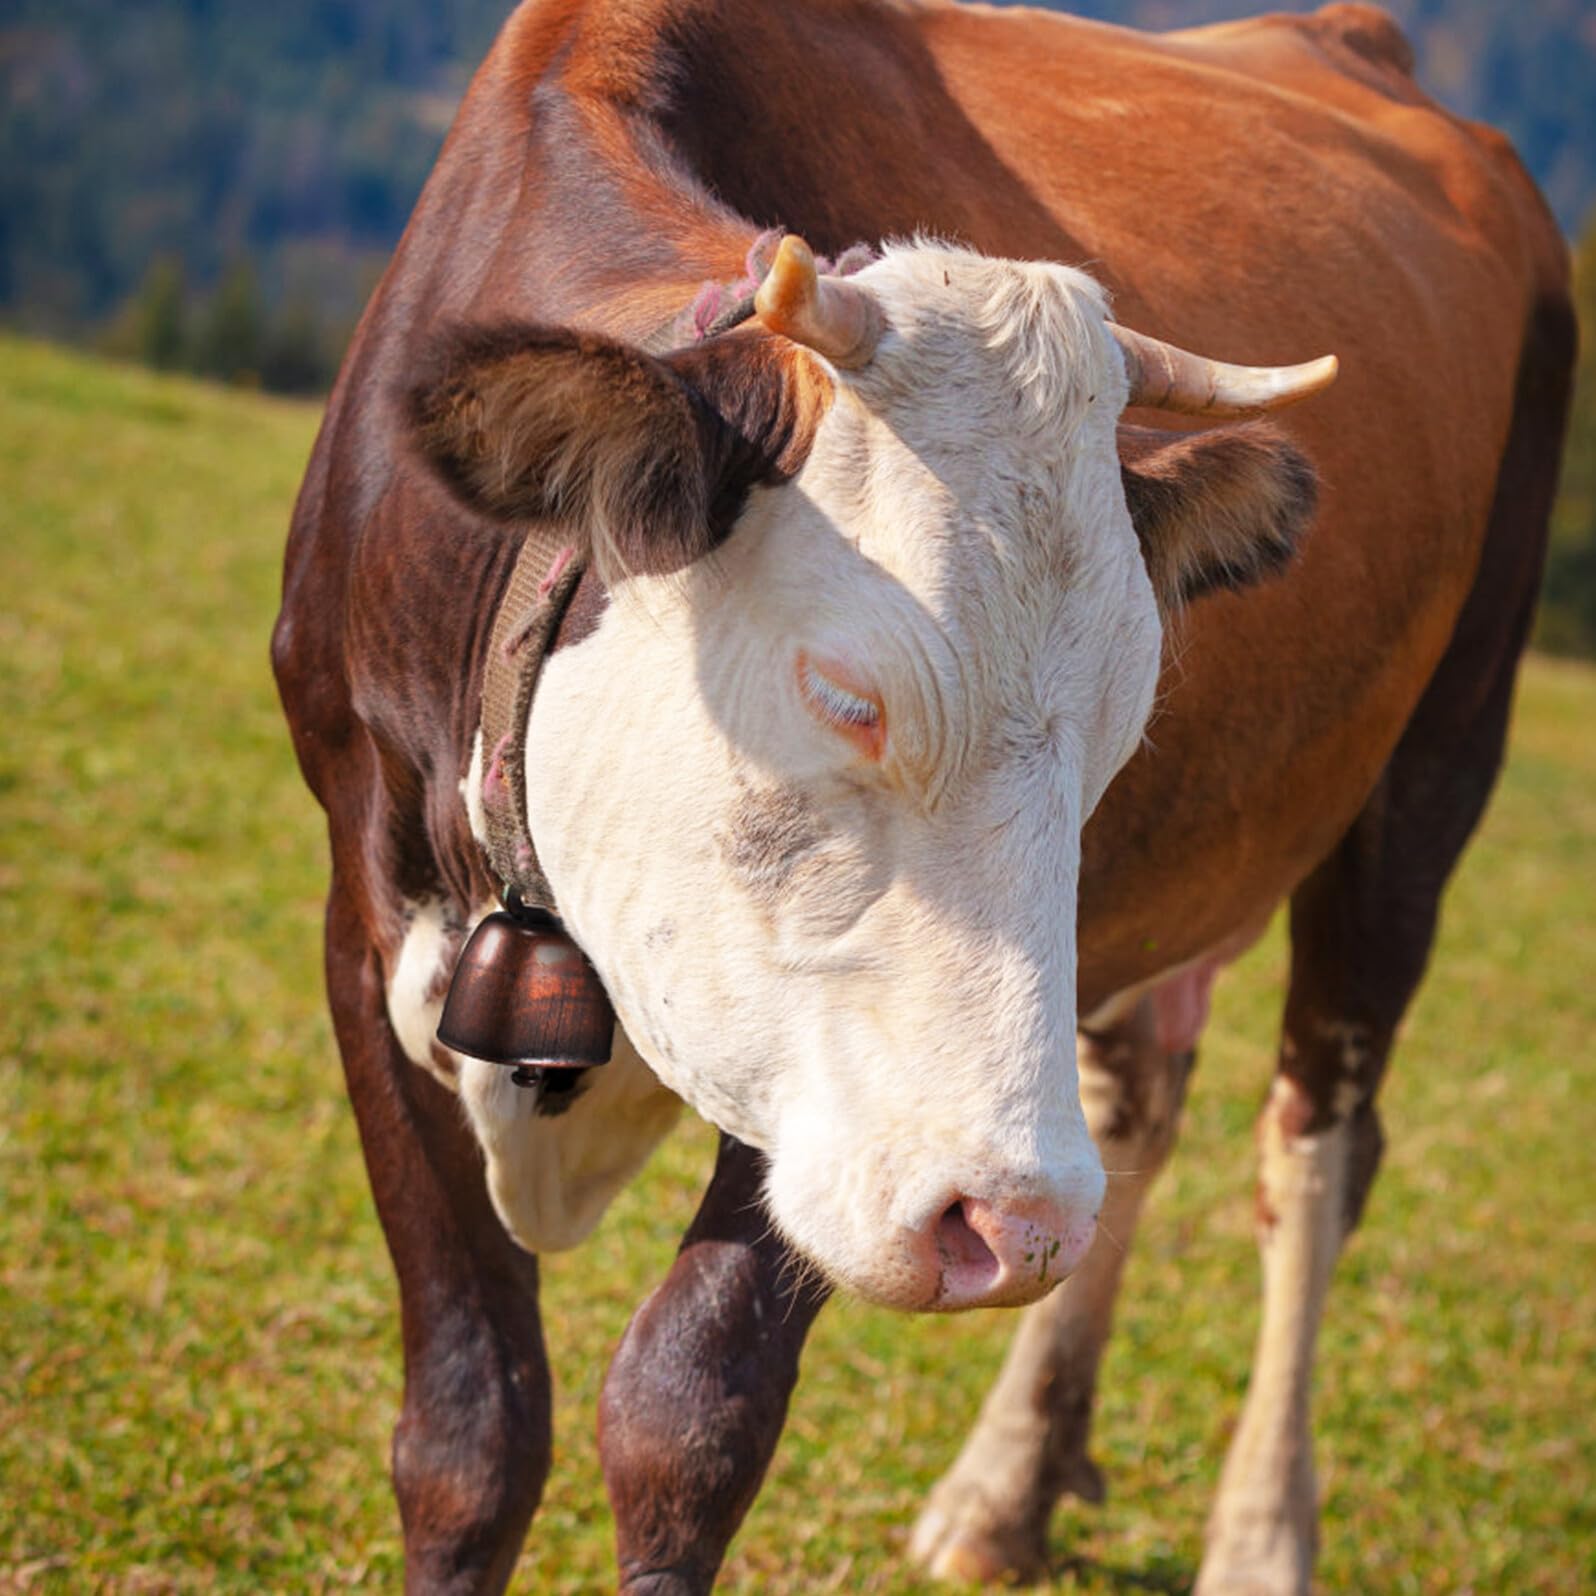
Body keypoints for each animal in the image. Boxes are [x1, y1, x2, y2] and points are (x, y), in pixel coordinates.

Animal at [271, 0, 1574, 1591]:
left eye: (1126, 716)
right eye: (848, 695)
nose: (1009, 1224)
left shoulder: (841, 1096)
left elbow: (683, 1417)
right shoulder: (361, 911)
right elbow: (468, 1430)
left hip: (1430, 782)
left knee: (1313, 1154)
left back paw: (1263, 1533)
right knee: (1140, 1103)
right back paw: (1010, 1484)